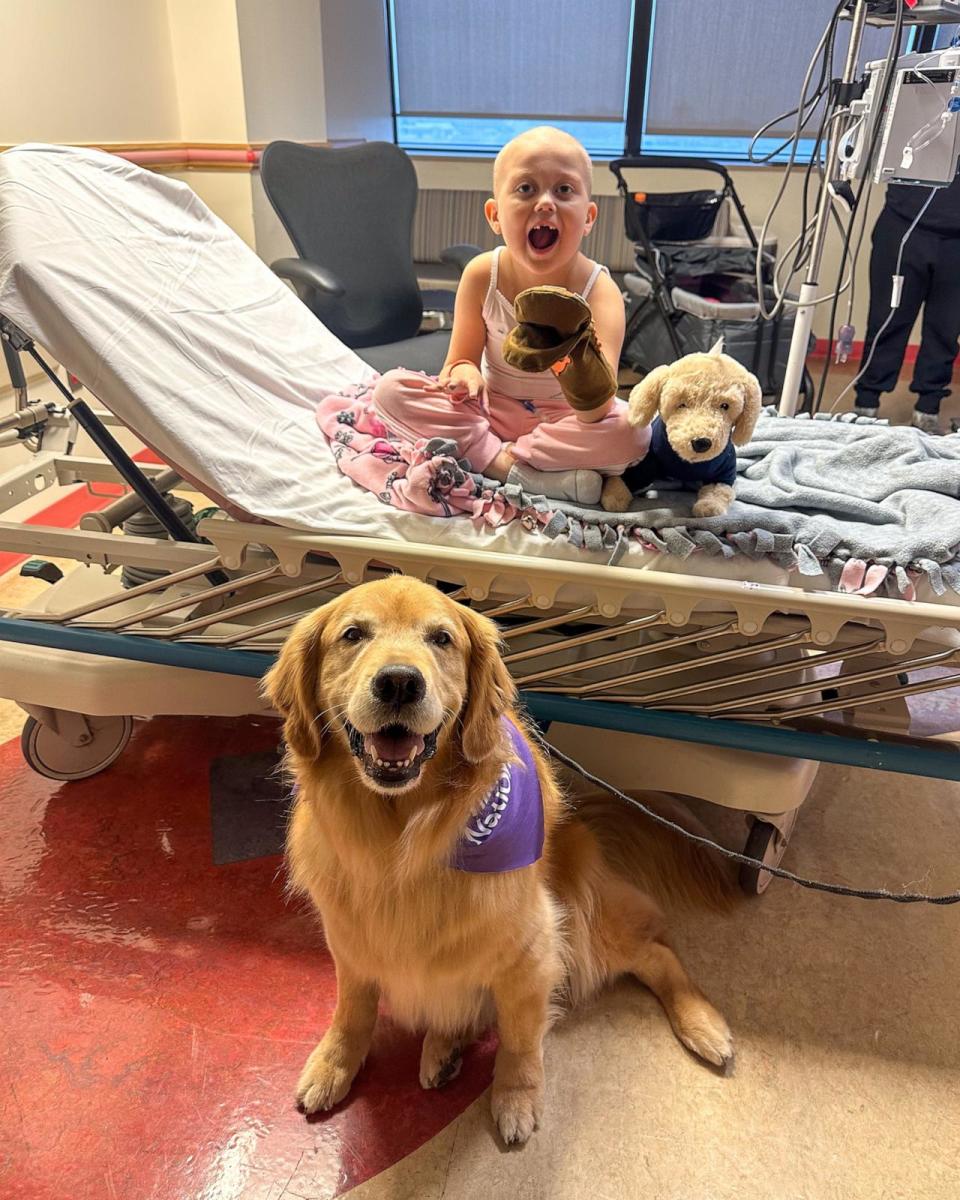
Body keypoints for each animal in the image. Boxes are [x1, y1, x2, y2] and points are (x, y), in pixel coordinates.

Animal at [260, 576, 729, 1147]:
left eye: (441, 638)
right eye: (352, 634)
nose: (399, 683)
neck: (402, 844)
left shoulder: (532, 953)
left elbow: (520, 1041)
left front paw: (515, 1096)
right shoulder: (349, 941)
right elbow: (352, 1010)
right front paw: (334, 1063)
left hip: (589, 925)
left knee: (657, 951)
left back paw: (703, 1023)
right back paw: (443, 1048)